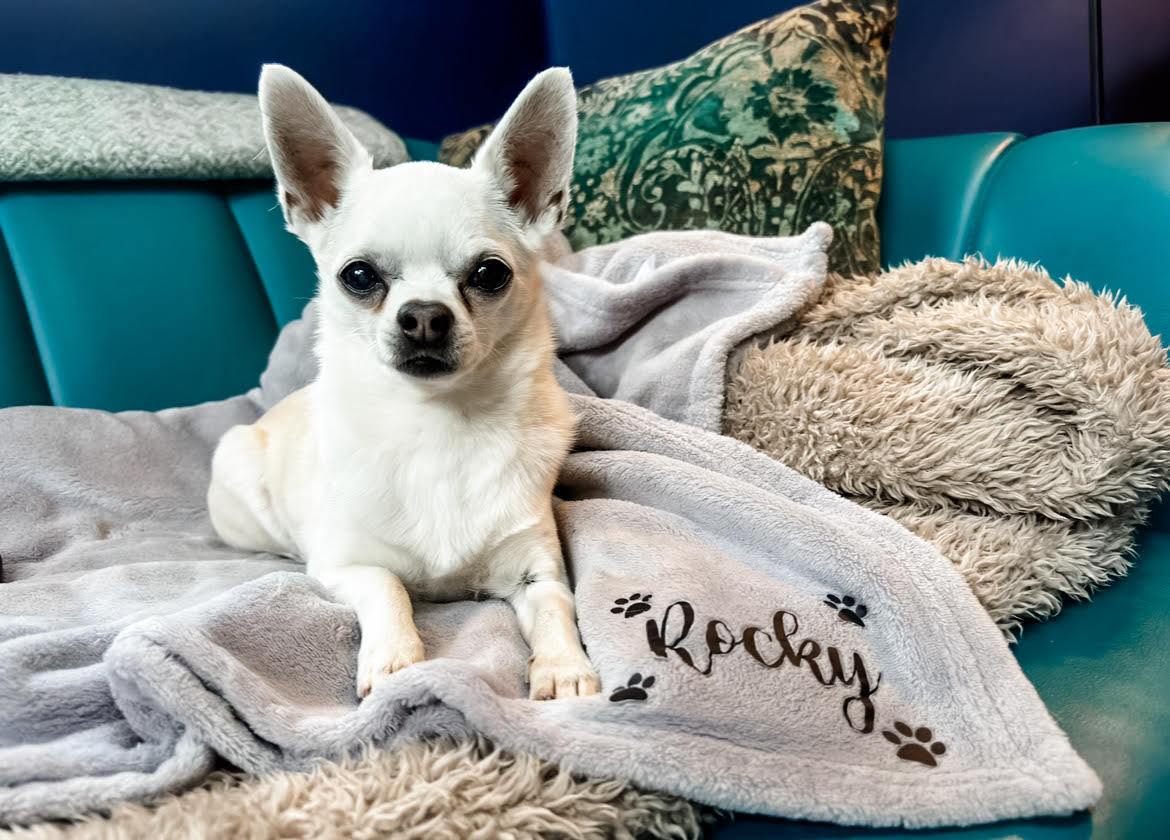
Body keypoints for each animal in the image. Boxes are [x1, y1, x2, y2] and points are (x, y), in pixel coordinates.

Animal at [204, 62, 599, 701]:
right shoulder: (343, 566)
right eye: (358, 276)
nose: (424, 316)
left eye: (491, 274)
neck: (438, 423)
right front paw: (393, 658)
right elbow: (386, 586)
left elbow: (555, 610)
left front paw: (564, 667)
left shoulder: (536, 569)